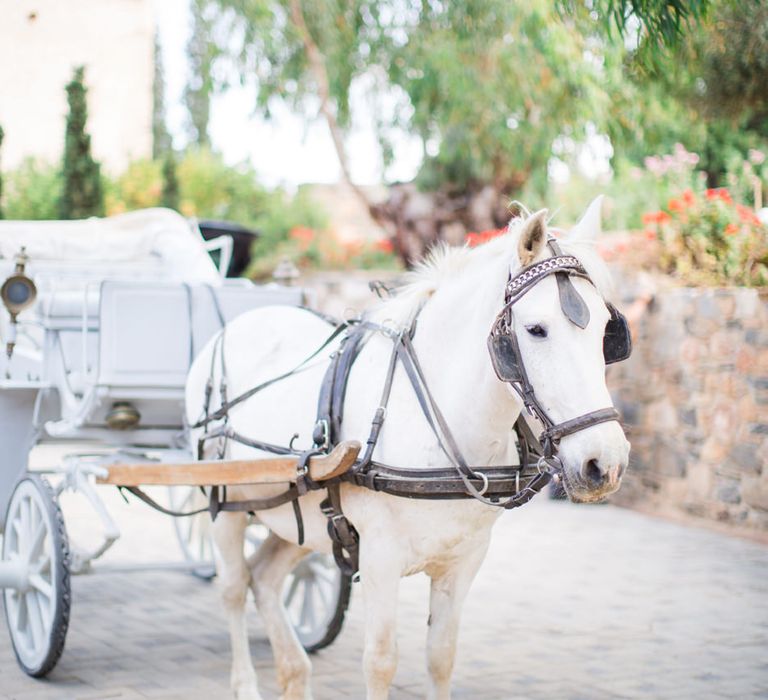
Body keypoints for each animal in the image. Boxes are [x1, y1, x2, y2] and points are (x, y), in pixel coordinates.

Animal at [186, 198, 632, 700]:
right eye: (536, 330)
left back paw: (294, 672)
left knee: (264, 578)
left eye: (607, 331)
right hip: (225, 502)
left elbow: (441, 657)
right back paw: (246, 682)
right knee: (234, 586)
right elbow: (381, 662)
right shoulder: (379, 557)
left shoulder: (464, 560)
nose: (604, 463)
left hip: (294, 514)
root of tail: (238, 325)